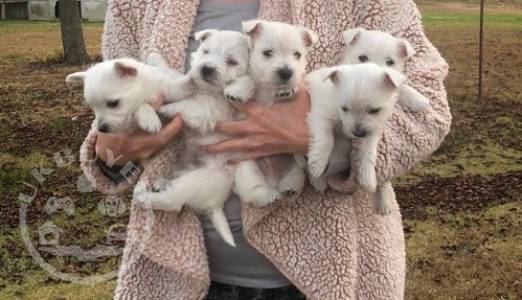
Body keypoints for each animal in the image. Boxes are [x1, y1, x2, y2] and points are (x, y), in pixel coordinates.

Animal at [131, 29, 251, 247]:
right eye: (205, 51)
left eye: (231, 61)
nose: (206, 69)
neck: (207, 90)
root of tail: (216, 204)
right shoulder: (186, 83)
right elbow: (173, 77)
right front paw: (156, 58)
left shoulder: (207, 110)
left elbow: (184, 106)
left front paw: (163, 109)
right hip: (187, 169)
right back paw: (161, 182)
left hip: (194, 182)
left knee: (170, 201)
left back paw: (142, 195)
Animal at [232, 19, 316, 207]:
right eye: (267, 53)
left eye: (297, 54)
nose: (286, 72)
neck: (268, 87)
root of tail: (273, 180)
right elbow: (248, 79)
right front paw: (238, 91)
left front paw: (287, 90)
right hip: (247, 168)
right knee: (253, 190)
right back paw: (267, 195)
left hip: (294, 167)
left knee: (293, 180)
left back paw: (289, 189)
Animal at [304, 63, 406, 214]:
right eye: (344, 108)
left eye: (374, 110)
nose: (358, 133)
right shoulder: (320, 115)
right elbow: (326, 140)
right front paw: (318, 164)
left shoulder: (373, 132)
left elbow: (368, 154)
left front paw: (368, 178)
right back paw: (318, 181)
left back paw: (384, 203)